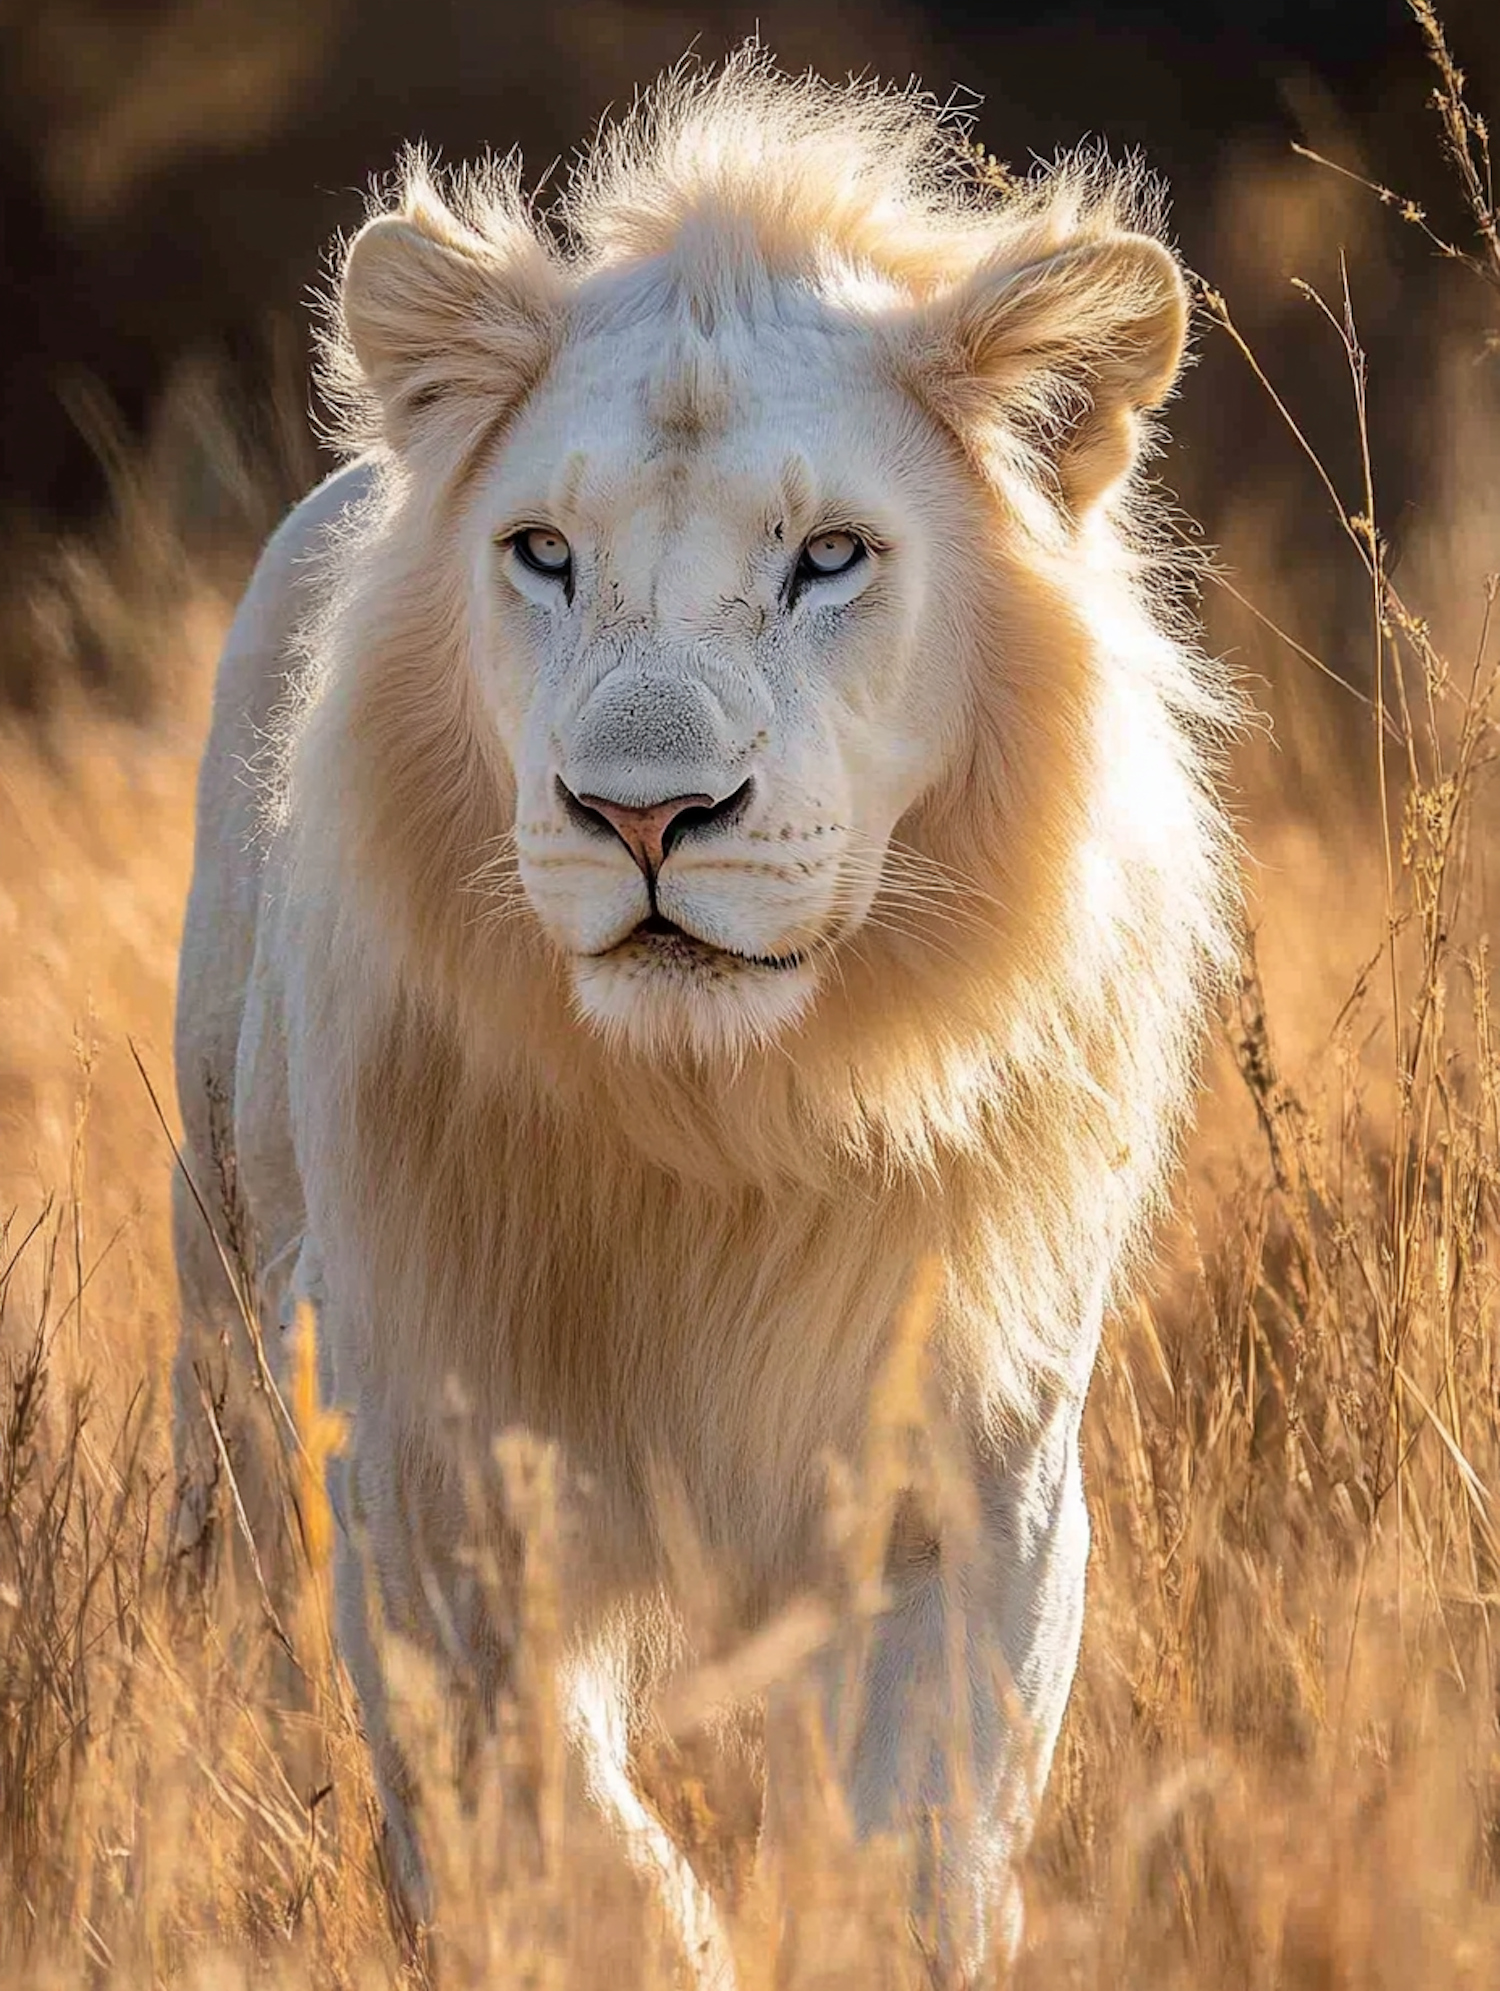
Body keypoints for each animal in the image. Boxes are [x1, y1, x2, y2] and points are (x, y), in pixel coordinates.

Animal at [172, 50, 1227, 1991]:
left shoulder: (976, 1480)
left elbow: (913, 1848)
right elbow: (566, 1840)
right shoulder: (427, 1477)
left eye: (829, 557)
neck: (722, 1125)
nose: (643, 813)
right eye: (543, 554)